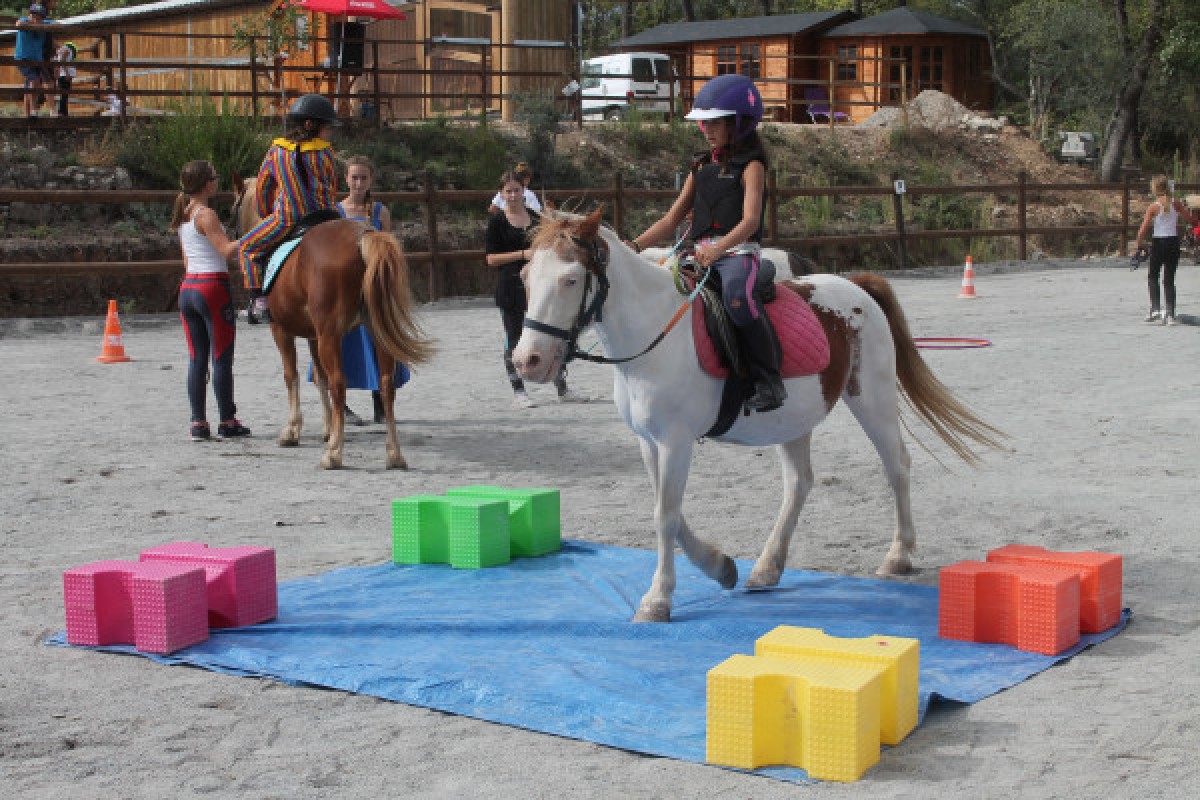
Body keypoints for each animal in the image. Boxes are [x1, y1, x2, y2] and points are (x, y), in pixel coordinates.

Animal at [230, 174, 433, 470]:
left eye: (232, 209)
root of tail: (362, 237)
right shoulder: (314, 335)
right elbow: (319, 377)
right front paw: (327, 428)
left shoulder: (282, 330)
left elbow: (292, 376)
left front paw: (292, 431)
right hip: (373, 331)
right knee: (385, 384)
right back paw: (393, 454)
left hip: (330, 335)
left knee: (340, 383)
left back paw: (334, 454)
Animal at [512, 209, 1004, 623]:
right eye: (524, 275)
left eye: (571, 279)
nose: (527, 361)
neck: (652, 337)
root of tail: (856, 286)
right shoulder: (649, 442)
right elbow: (669, 513)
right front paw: (720, 566)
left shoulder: (675, 441)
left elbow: (665, 516)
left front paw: (657, 600)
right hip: (796, 417)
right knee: (799, 483)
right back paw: (767, 567)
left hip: (873, 398)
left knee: (896, 466)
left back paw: (898, 555)